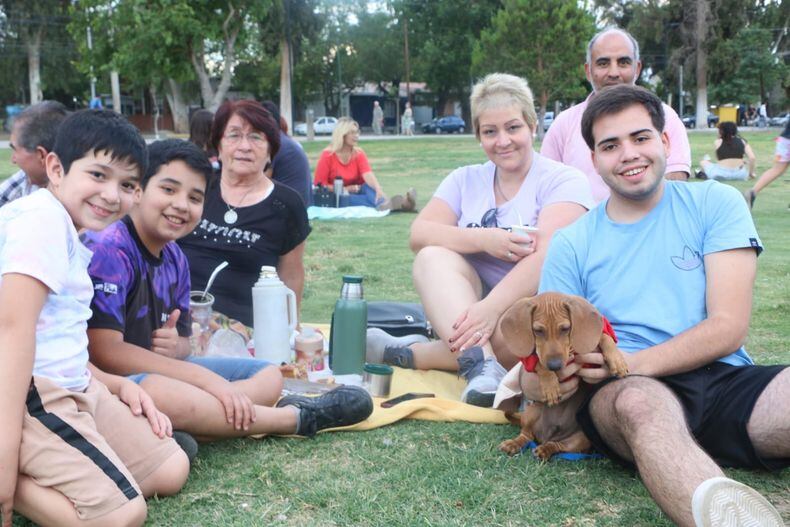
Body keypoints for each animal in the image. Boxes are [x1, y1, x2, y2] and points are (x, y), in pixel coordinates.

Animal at [498, 290, 628, 460]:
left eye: (565, 328)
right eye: (538, 330)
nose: (555, 365)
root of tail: (547, 436)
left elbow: (604, 337)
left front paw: (617, 361)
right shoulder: (531, 358)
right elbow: (539, 362)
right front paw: (551, 386)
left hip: (581, 438)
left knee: (558, 446)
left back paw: (545, 449)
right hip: (531, 412)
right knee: (526, 435)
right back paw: (514, 444)